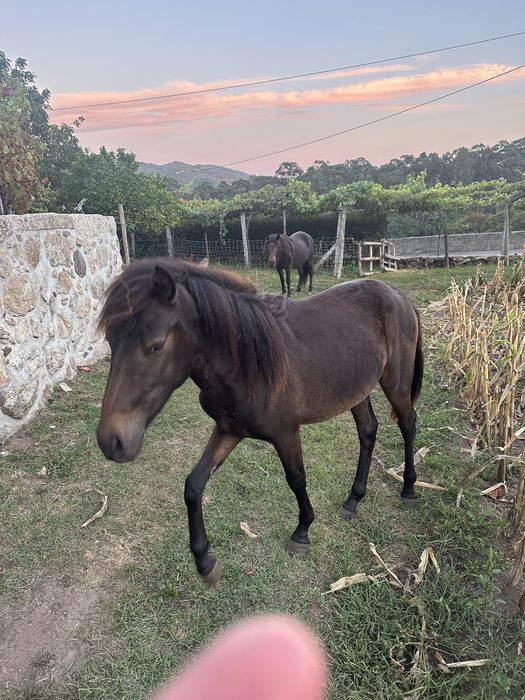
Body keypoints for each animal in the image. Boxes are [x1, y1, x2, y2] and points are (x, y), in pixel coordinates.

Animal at [97, 259, 423, 585]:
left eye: (155, 346)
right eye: (110, 340)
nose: (111, 441)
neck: (248, 364)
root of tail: (399, 296)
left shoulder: (286, 434)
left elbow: (296, 479)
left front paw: (302, 532)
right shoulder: (228, 430)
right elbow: (194, 484)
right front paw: (204, 560)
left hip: (395, 383)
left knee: (408, 423)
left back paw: (408, 488)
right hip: (357, 390)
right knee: (368, 431)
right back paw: (353, 500)